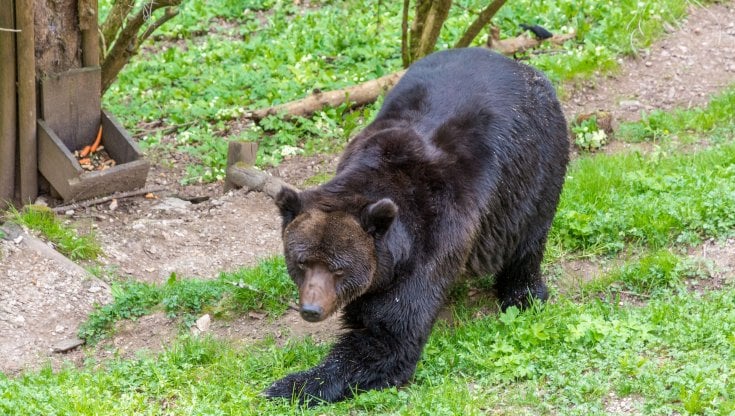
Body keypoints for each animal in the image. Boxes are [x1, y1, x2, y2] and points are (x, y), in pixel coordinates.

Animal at [265, 47, 569, 405]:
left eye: (338, 268)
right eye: (302, 262)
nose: (312, 309)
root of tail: (519, 65)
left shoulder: (432, 241)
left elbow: (390, 338)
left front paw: (289, 384)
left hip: (533, 167)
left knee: (528, 239)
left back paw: (522, 296)